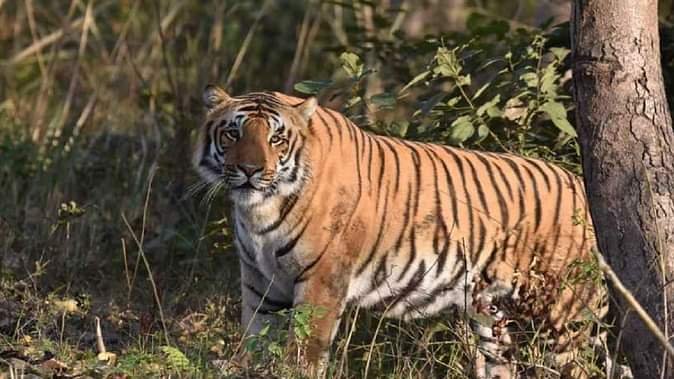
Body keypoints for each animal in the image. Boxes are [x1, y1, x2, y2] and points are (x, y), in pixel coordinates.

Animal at [192, 84, 608, 378]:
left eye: (275, 138)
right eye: (232, 134)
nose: (249, 170)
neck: (259, 211)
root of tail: (580, 184)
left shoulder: (321, 281)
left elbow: (305, 349)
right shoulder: (260, 280)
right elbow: (255, 335)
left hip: (563, 315)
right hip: (491, 317)